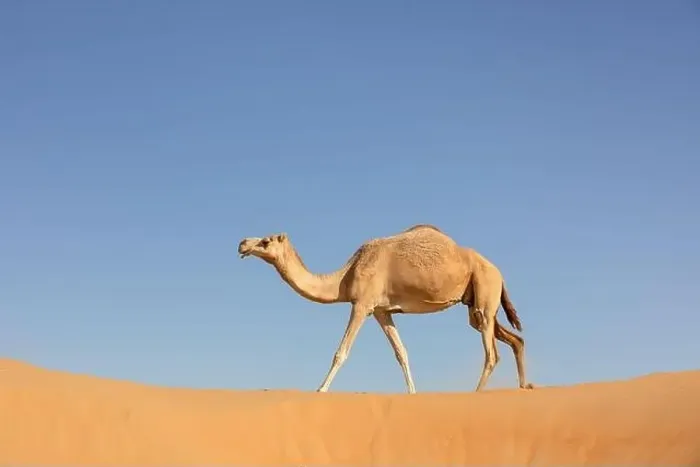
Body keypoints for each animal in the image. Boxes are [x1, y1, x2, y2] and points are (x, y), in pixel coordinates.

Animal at [237, 224, 533, 393]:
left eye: (265, 241)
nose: (242, 243)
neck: (346, 276)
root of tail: (499, 273)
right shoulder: (382, 311)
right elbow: (402, 353)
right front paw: (413, 393)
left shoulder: (362, 304)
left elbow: (341, 352)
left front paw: (320, 390)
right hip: (477, 304)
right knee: (514, 339)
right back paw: (524, 386)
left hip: (485, 290)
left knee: (492, 354)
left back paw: (477, 394)